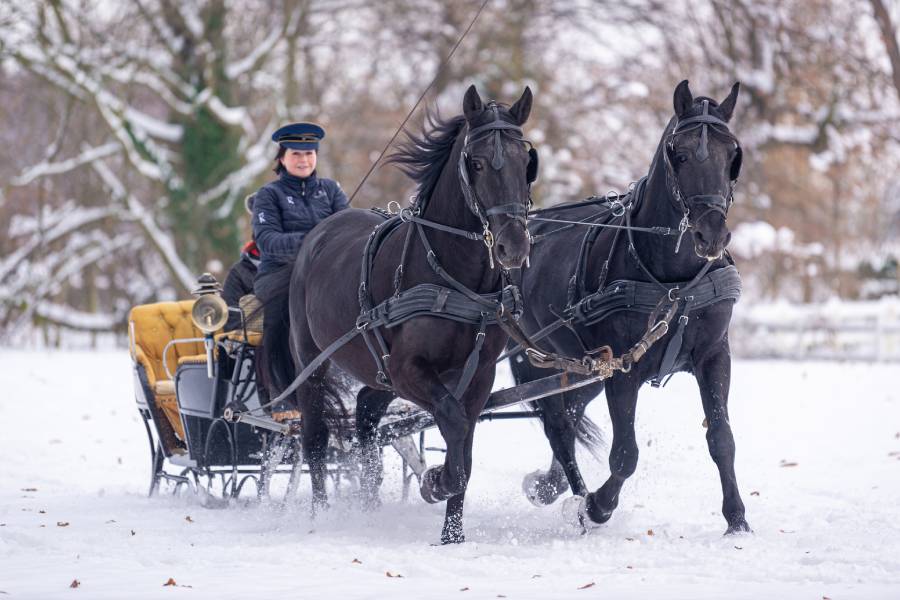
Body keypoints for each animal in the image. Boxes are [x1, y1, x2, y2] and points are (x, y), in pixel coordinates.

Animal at [266, 85, 536, 544]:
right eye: (477, 162)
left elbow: (464, 442)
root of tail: (312, 239)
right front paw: (436, 481)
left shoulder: (479, 375)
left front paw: (452, 534)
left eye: (525, 161)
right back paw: (320, 516)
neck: (453, 279)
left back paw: (369, 508)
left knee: (366, 420)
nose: (513, 246)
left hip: (379, 373)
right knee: (316, 439)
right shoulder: (409, 369)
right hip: (313, 364)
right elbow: (454, 426)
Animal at [510, 79, 748, 536]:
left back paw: (550, 486)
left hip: (580, 367)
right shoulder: (622, 368)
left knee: (568, 415)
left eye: (733, 155)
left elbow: (723, 440)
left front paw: (737, 520)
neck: (676, 284)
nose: (711, 234)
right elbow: (625, 454)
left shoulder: (713, 355)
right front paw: (596, 507)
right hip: (534, 360)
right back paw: (576, 498)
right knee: (559, 427)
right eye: (679, 153)